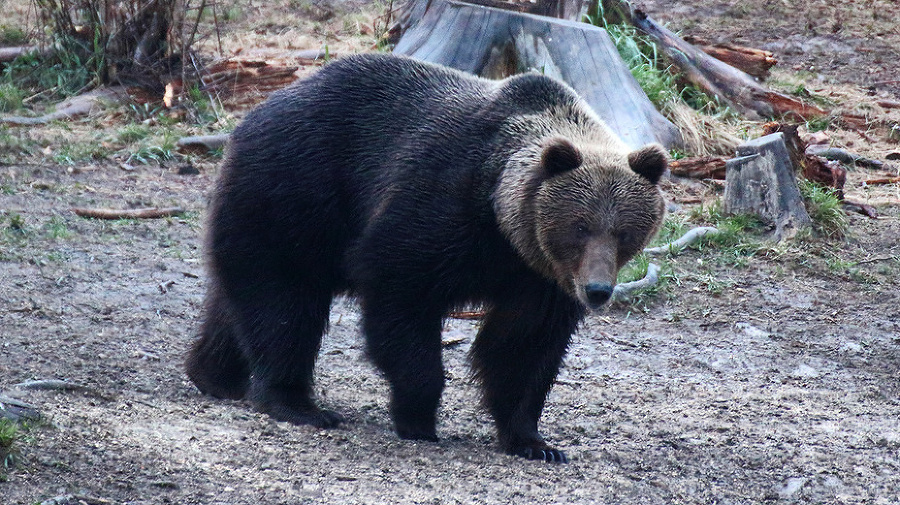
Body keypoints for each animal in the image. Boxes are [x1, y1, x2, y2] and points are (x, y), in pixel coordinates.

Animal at [186, 53, 668, 462]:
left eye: (624, 232)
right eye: (580, 227)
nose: (598, 290)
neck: (501, 223)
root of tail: (255, 112)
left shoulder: (538, 277)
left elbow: (523, 347)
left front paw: (534, 441)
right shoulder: (440, 211)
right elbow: (400, 294)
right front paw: (418, 415)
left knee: (242, 298)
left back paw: (214, 375)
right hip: (297, 193)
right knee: (284, 301)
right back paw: (296, 403)